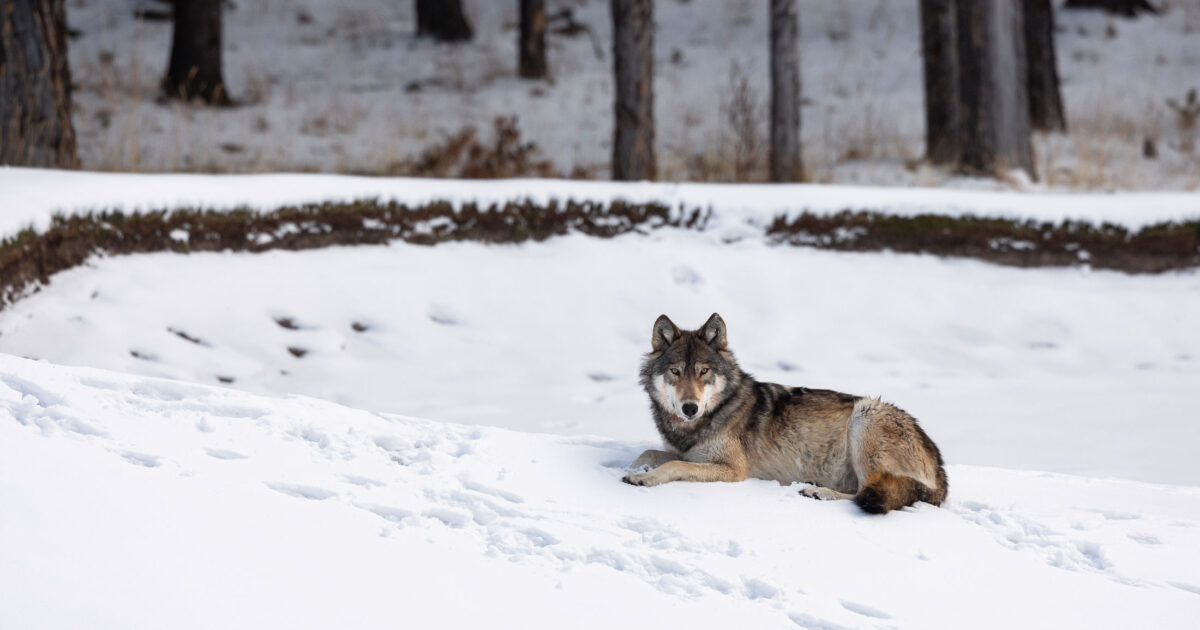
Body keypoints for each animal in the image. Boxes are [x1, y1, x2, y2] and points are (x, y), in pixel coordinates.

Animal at [623, 313, 948, 514]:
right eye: (675, 372)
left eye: (703, 371)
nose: (690, 407)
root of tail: (940, 469)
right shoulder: (688, 452)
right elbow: (649, 454)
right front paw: (635, 469)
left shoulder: (733, 469)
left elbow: (673, 464)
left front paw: (642, 479)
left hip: (865, 415)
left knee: (865, 493)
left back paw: (820, 493)